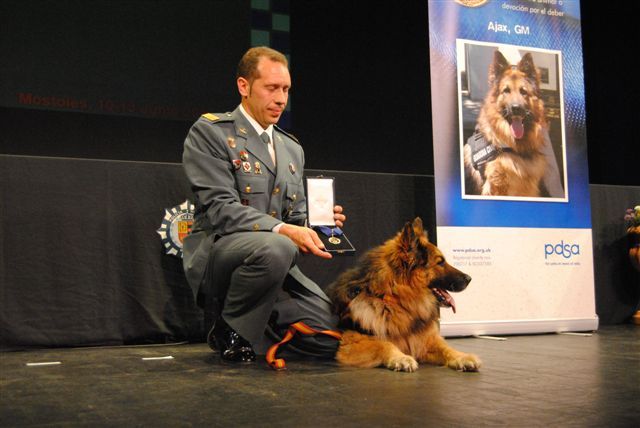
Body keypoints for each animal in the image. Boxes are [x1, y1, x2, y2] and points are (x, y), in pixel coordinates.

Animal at [328, 217, 478, 372]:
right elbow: (383, 344)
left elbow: (446, 348)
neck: (394, 299)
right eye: (440, 262)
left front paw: (462, 357)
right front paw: (401, 358)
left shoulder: (425, 340)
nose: (469, 278)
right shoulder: (351, 343)